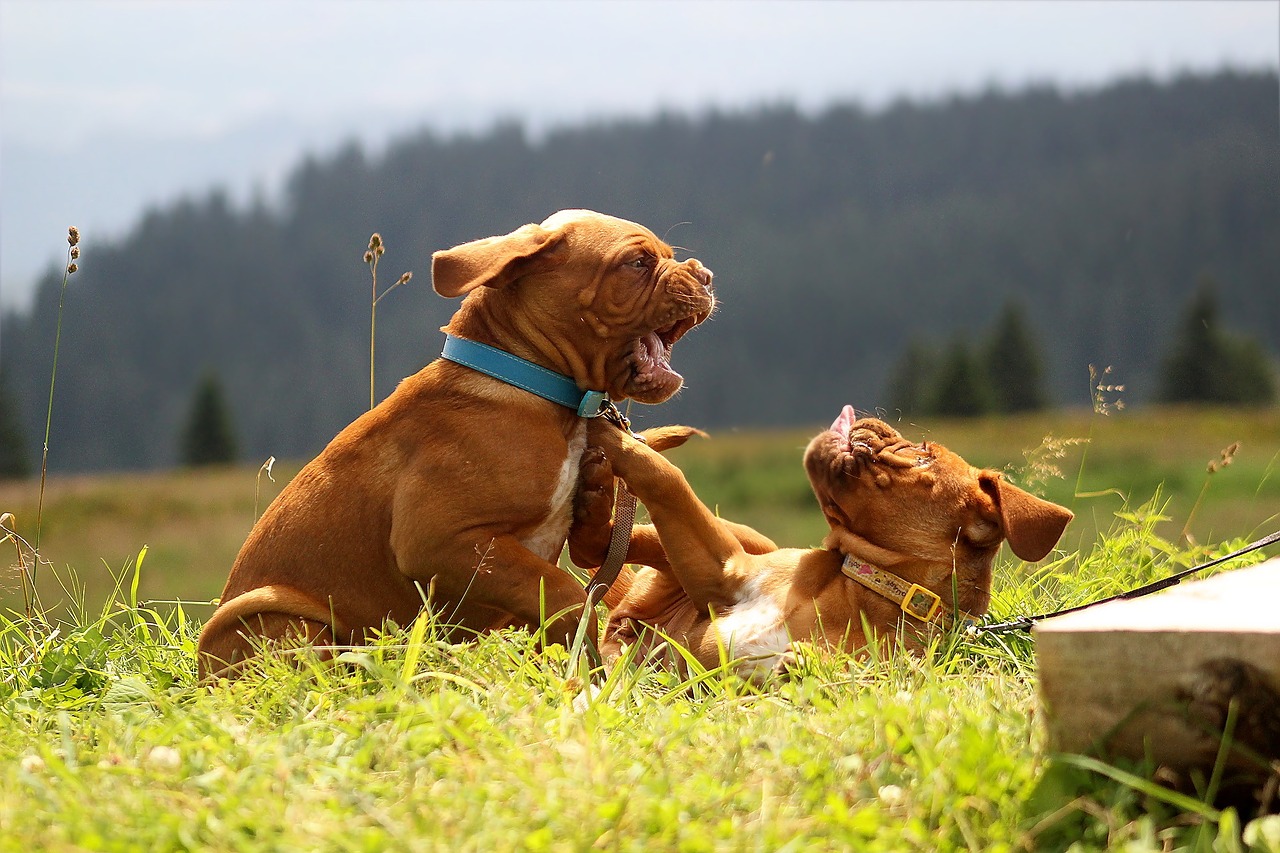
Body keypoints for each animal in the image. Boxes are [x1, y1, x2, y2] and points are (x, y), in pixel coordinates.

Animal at [200, 207, 721, 676]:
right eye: (637, 262)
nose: (707, 275)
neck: (532, 387)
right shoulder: (439, 541)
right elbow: (566, 594)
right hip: (284, 619)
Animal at [570, 409, 1070, 676]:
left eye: (923, 455)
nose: (871, 421)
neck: (872, 589)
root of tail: (625, 620)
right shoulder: (726, 570)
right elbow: (665, 477)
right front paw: (608, 430)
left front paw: (804, 663)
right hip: (746, 538)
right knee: (612, 544)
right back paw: (595, 494)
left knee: (600, 553)